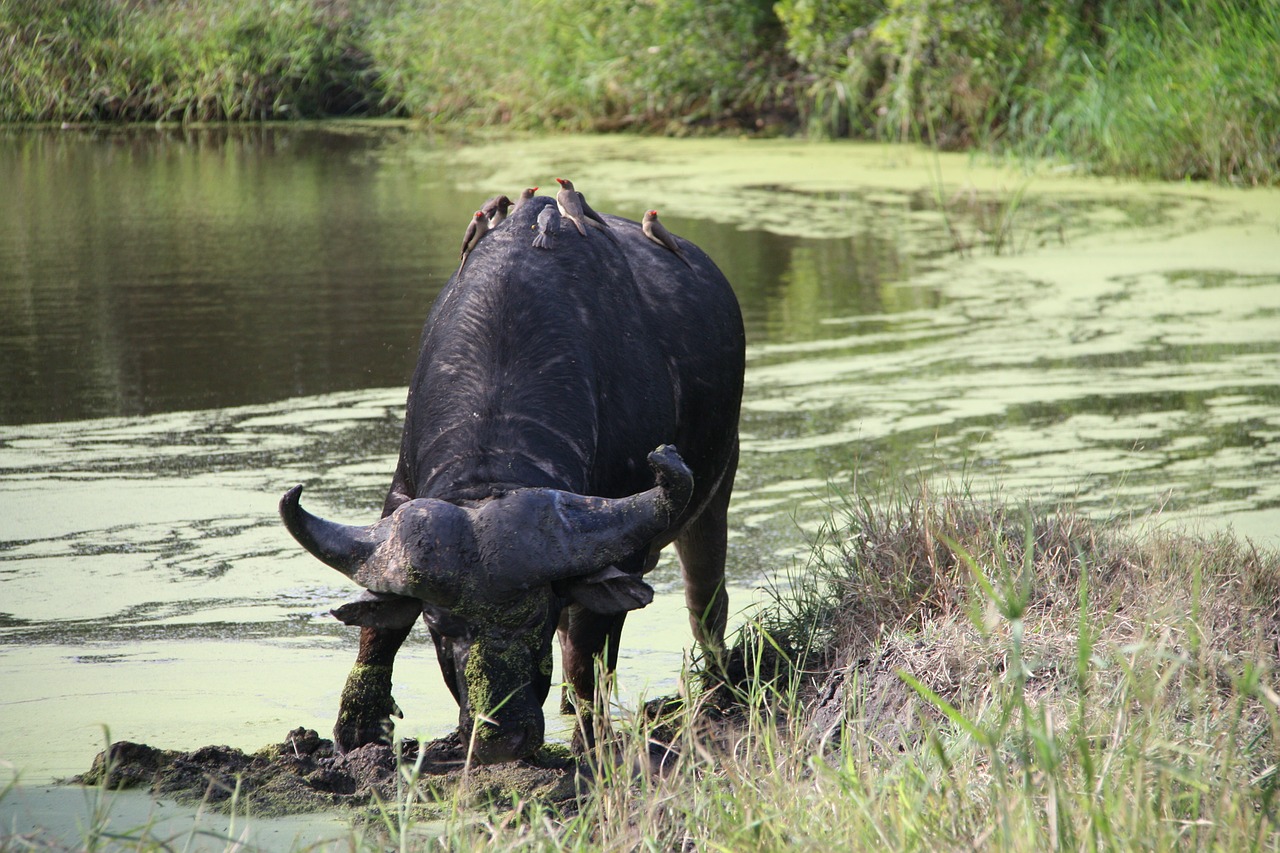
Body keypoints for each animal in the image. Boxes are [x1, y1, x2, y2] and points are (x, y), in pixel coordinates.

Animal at [275, 194, 747, 763]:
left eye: (537, 616)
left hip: (717, 490)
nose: (501, 737)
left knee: (706, 602)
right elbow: (379, 629)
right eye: (438, 625)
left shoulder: (621, 544)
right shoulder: (400, 499)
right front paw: (359, 727)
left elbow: (586, 653)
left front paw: (592, 741)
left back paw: (719, 691)